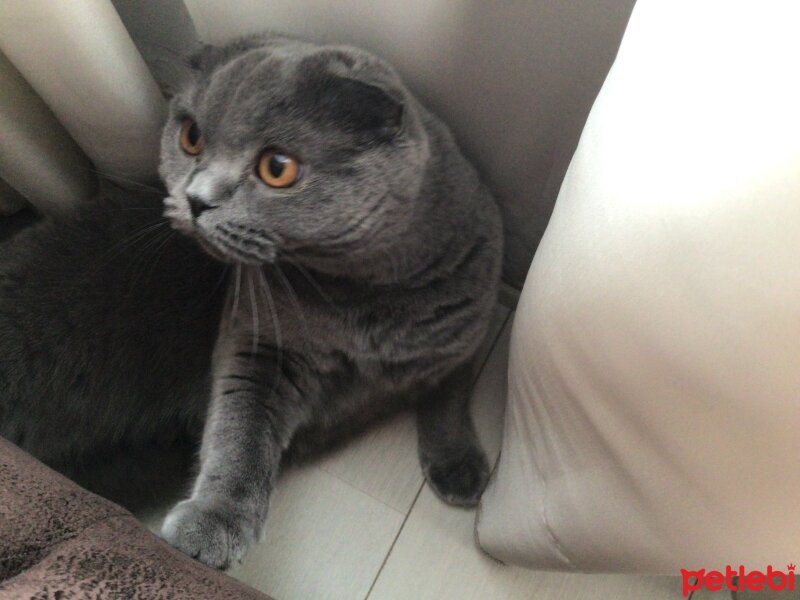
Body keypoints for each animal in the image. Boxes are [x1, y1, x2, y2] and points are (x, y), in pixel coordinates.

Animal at [0, 32, 500, 568]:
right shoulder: (261, 341)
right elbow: (241, 433)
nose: (195, 199)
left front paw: (460, 466)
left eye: (277, 168)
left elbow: (451, 393)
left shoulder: (471, 327)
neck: (359, 302)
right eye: (191, 137)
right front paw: (213, 523)